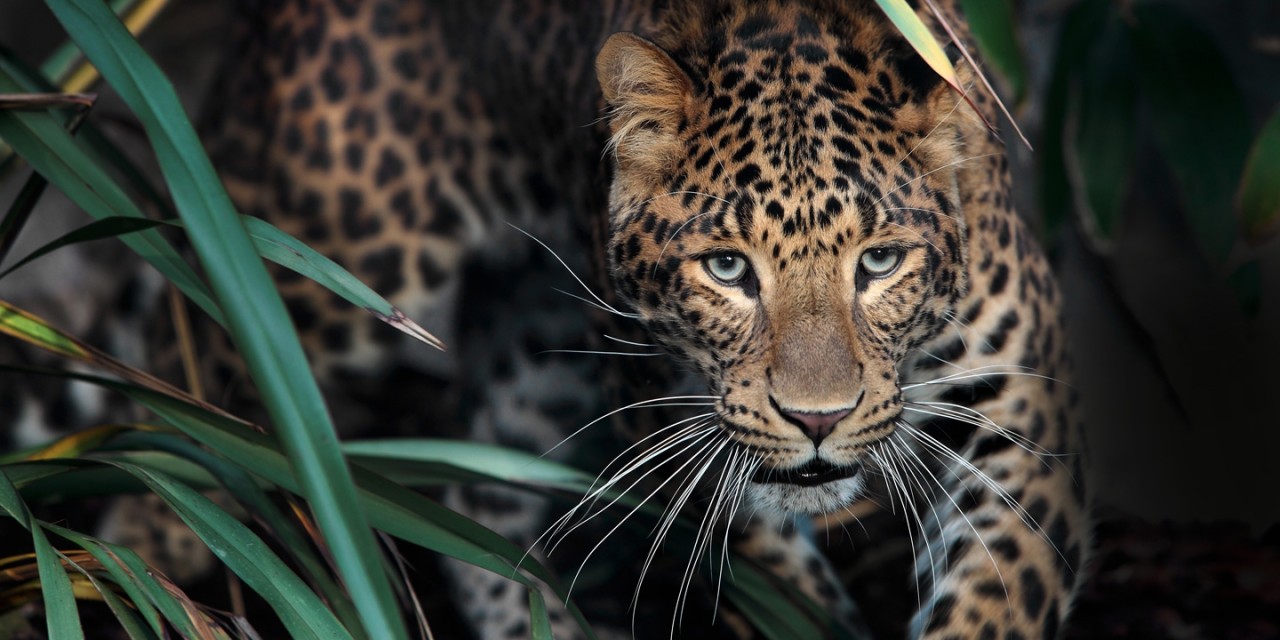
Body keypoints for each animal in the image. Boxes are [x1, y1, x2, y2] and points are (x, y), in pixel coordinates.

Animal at [12, 0, 1090, 634]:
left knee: (478, 489)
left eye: (878, 262)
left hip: (537, 340)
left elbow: (994, 597)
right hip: (311, 282)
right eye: (728, 269)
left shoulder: (1021, 421)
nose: (817, 420)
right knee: (166, 457)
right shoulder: (671, 419)